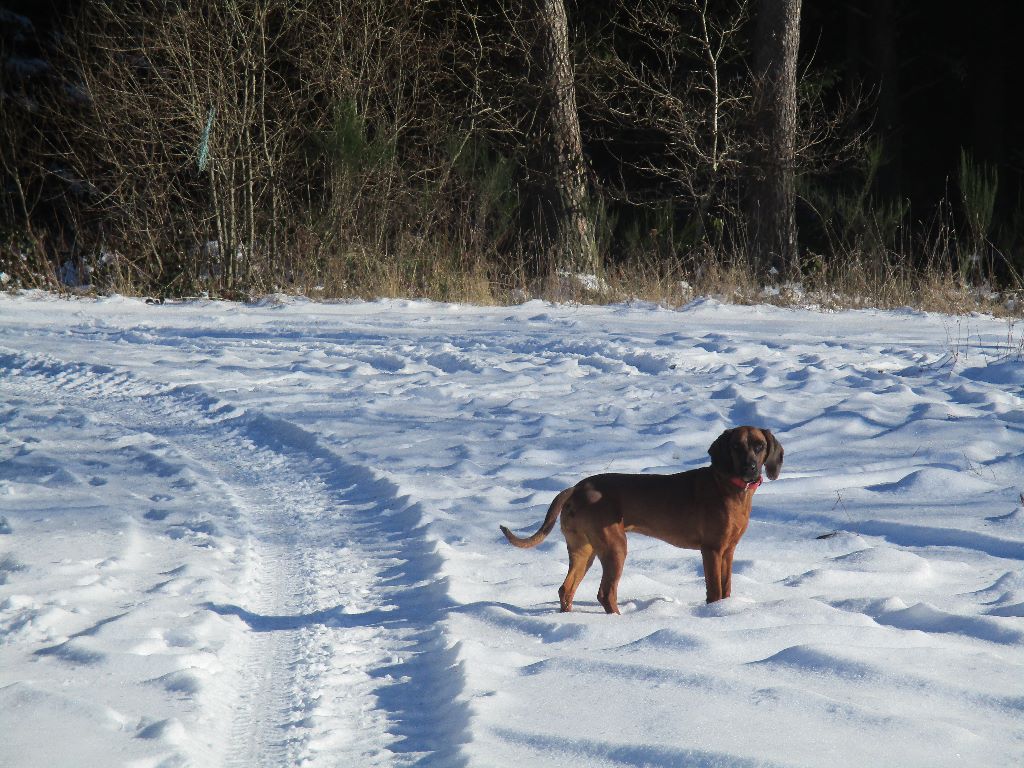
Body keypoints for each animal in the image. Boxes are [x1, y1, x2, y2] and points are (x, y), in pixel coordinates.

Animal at [499, 430, 778, 618]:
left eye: (760, 446)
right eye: (736, 447)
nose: (751, 468)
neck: (729, 487)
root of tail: (577, 488)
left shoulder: (728, 550)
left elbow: (726, 588)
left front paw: (726, 610)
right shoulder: (711, 550)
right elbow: (715, 591)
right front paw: (715, 613)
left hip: (584, 550)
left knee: (565, 589)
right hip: (615, 546)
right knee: (605, 593)